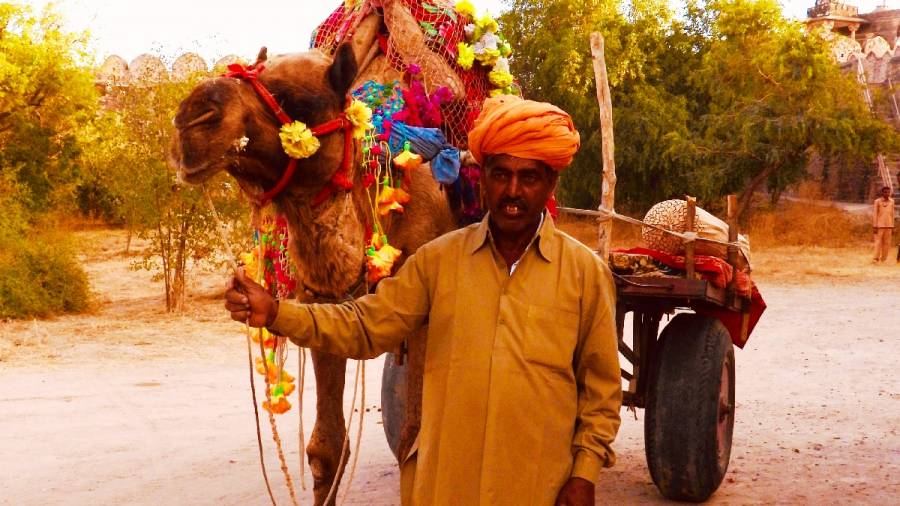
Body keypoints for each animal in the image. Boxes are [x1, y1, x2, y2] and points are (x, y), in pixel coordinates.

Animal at [169, 11, 461, 505]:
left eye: (297, 100)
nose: (191, 118)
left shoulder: (427, 307)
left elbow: (415, 439)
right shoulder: (325, 300)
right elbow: (328, 447)